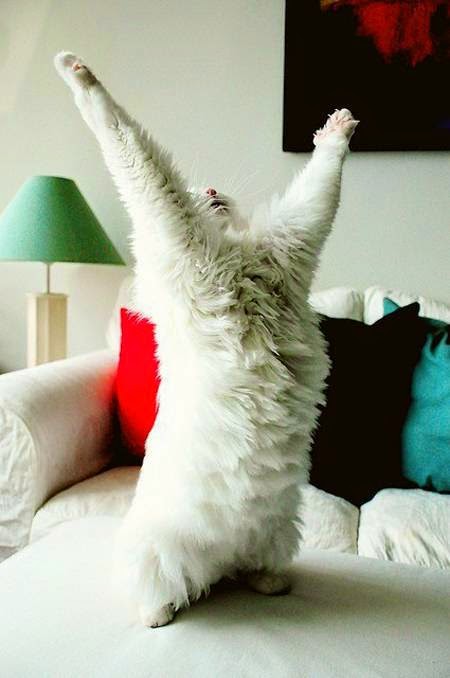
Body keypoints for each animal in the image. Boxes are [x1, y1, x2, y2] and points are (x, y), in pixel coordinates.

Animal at [55, 51, 358, 628]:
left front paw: (339, 126)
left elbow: (323, 179)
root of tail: (220, 559)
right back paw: (159, 615)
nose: (213, 191)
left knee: (249, 570)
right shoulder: (171, 221)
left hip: (279, 530)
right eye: (198, 192)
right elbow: (123, 137)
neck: (238, 258)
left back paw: (270, 585)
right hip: (158, 556)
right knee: (164, 590)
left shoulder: (296, 239)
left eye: (214, 192)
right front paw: (75, 70)